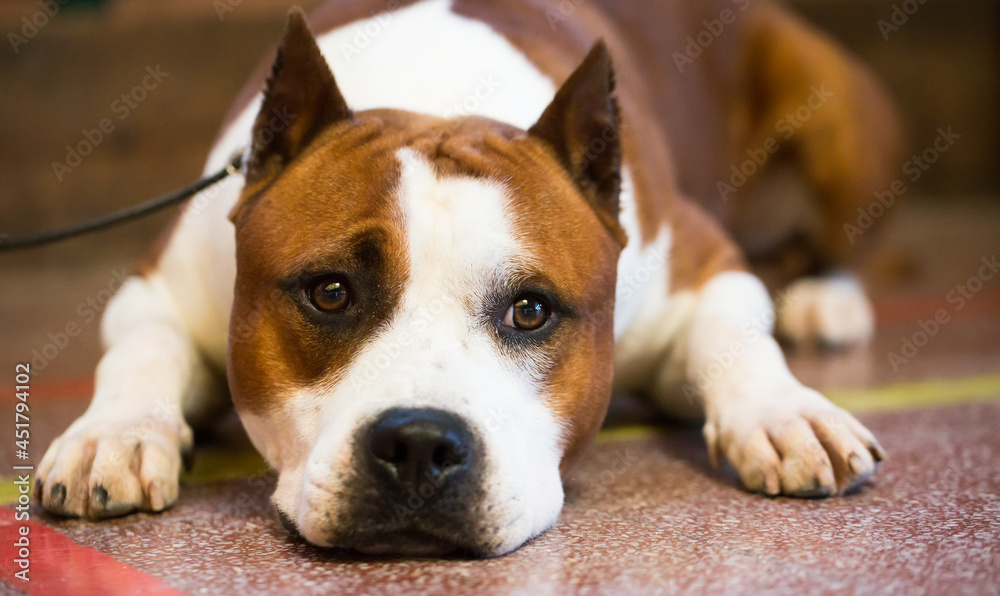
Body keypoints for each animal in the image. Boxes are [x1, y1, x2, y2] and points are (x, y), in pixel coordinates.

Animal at [37, 0, 900, 560]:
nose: (419, 445)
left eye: (531, 311)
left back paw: (826, 298)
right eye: (330, 292)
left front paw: (784, 413)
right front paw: (112, 434)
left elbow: (736, 334)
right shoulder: (160, 288)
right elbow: (141, 350)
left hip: (833, 110)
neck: (438, 93)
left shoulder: (700, 259)